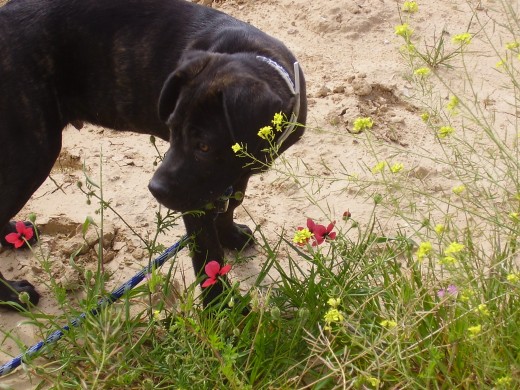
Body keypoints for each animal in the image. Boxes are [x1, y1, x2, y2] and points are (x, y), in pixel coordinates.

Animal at [0, 0, 304, 310]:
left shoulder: (230, 176)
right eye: (171, 129)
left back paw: (16, 237)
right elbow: (207, 256)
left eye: (204, 146)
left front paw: (229, 234)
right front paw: (221, 310)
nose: (155, 189)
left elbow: (231, 202)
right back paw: (12, 295)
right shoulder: (195, 203)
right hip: (31, 154)